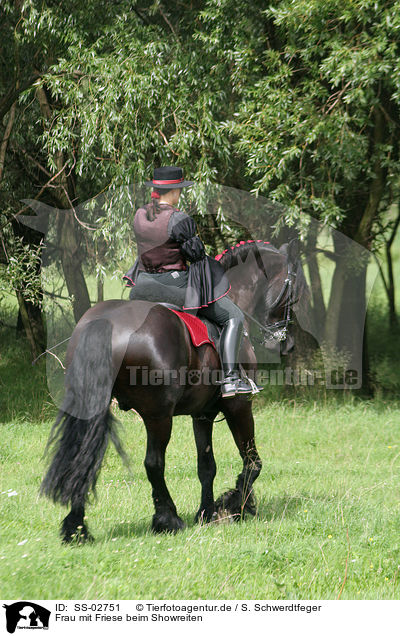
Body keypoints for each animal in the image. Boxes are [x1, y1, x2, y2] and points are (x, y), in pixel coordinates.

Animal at [40, 240, 304, 540]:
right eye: (295, 291)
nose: (287, 344)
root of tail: (106, 322)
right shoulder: (239, 405)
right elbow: (252, 462)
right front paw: (235, 506)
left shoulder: (203, 414)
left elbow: (206, 466)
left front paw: (207, 512)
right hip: (159, 416)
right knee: (153, 463)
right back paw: (167, 519)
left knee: (82, 456)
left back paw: (76, 528)